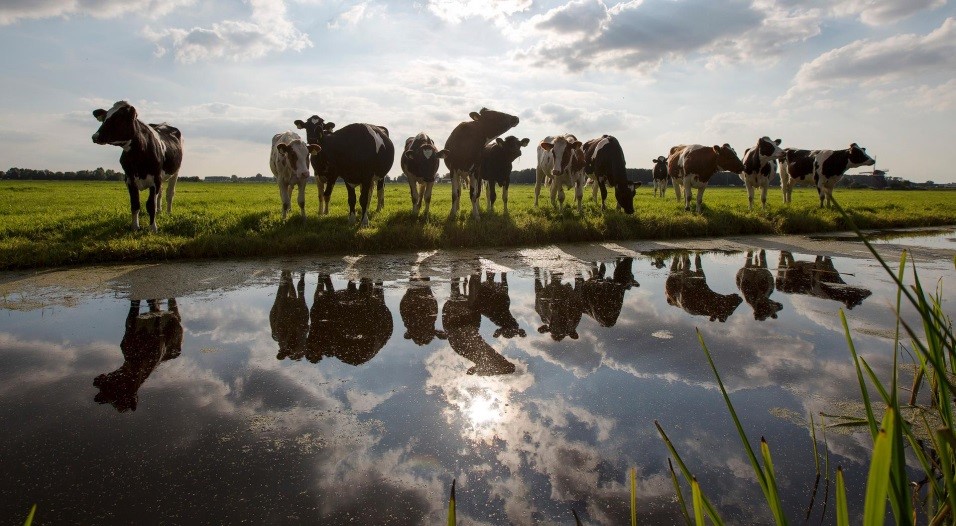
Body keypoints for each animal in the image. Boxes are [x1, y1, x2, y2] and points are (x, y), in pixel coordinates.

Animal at [92, 101, 185, 233]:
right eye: (105, 118)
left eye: (118, 118)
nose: (95, 136)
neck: (138, 154)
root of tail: (164, 124)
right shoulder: (130, 179)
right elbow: (135, 204)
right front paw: (135, 227)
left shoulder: (155, 179)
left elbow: (150, 205)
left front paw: (153, 228)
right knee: (160, 194)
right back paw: (159, 211)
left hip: (175, 172)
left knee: (169, 194)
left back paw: (168, 213)